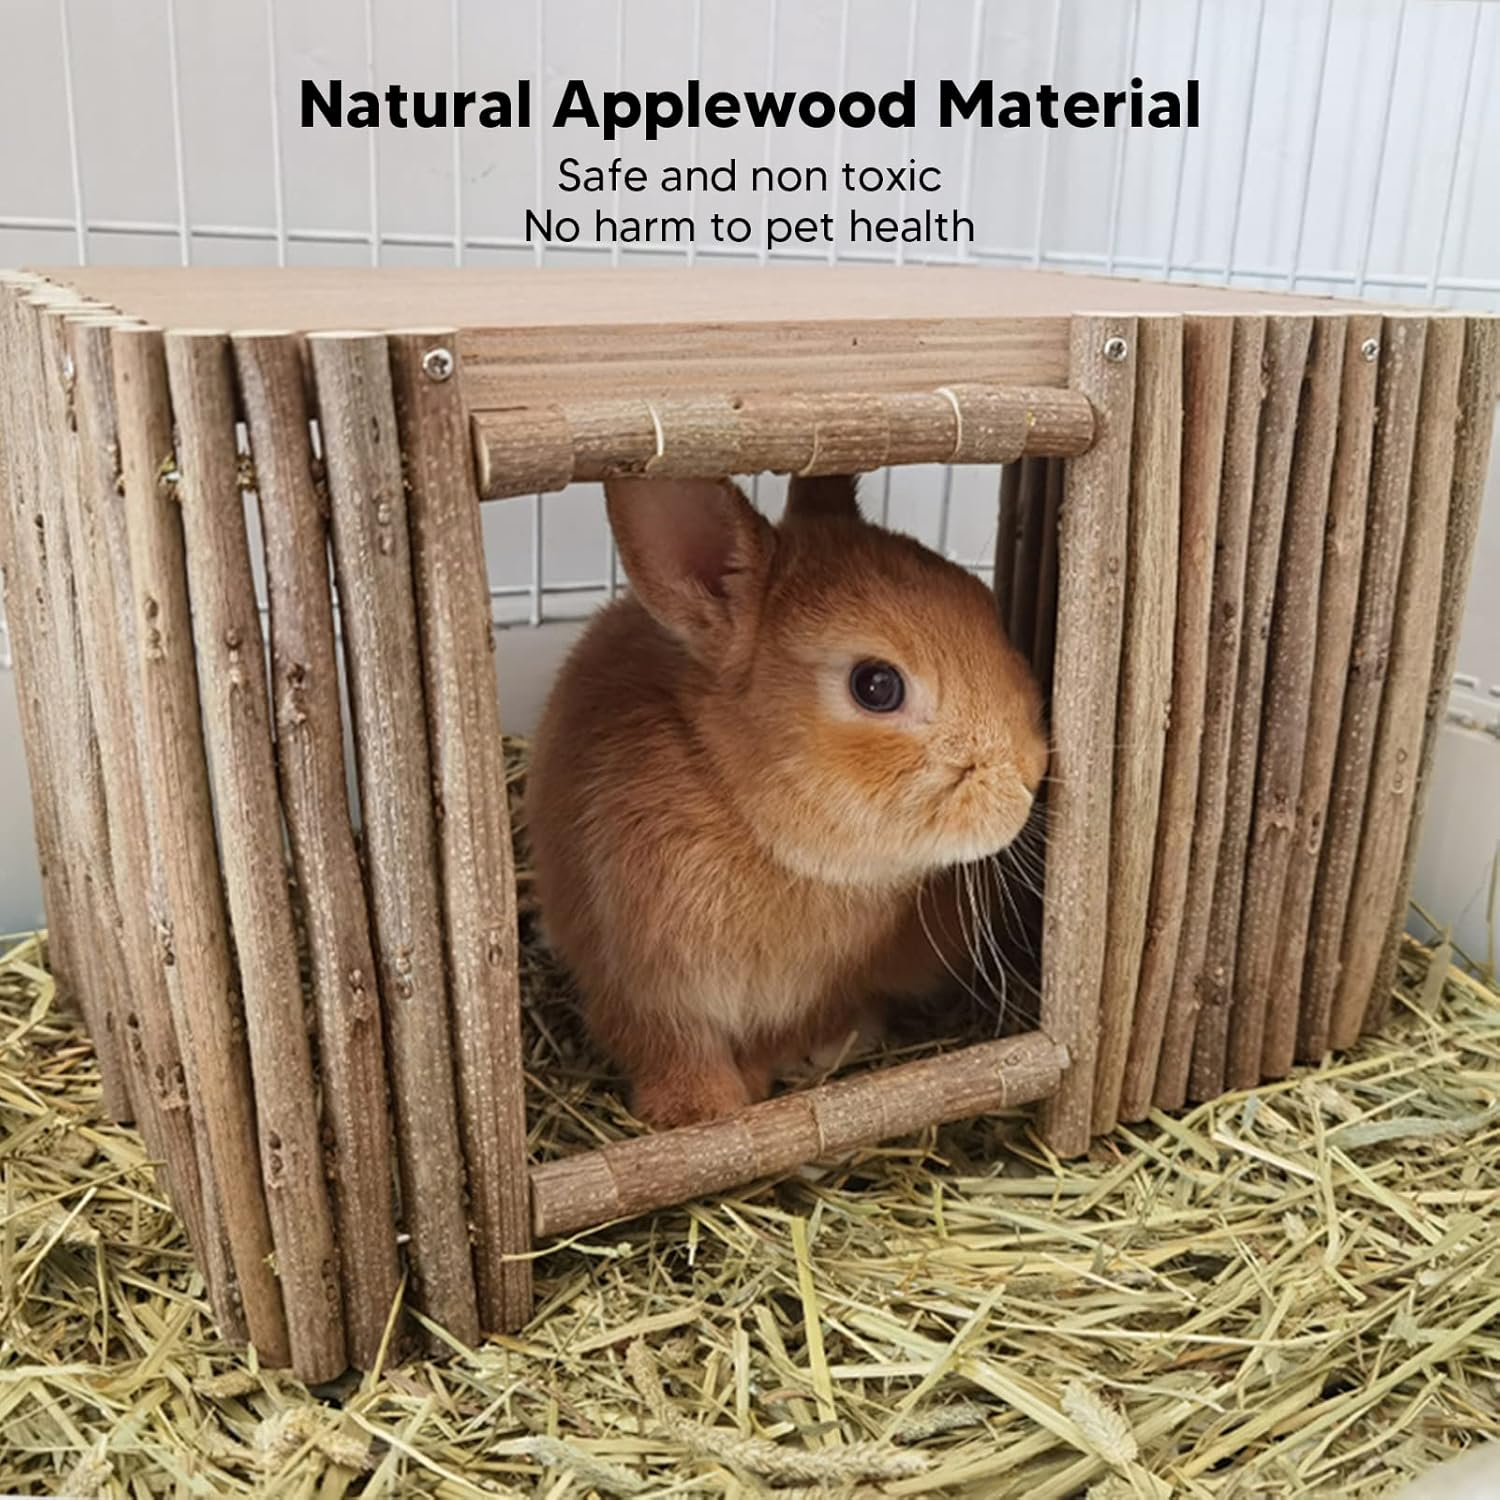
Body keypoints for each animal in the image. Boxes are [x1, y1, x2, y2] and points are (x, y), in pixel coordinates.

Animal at [525, 471, 1047, 1128]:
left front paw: (758, 1078)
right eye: (877, 686)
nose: (1031, 772)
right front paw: (699, 1112)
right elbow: (669, 1046)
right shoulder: (638, 979)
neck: (745, 817)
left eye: (984, 599)